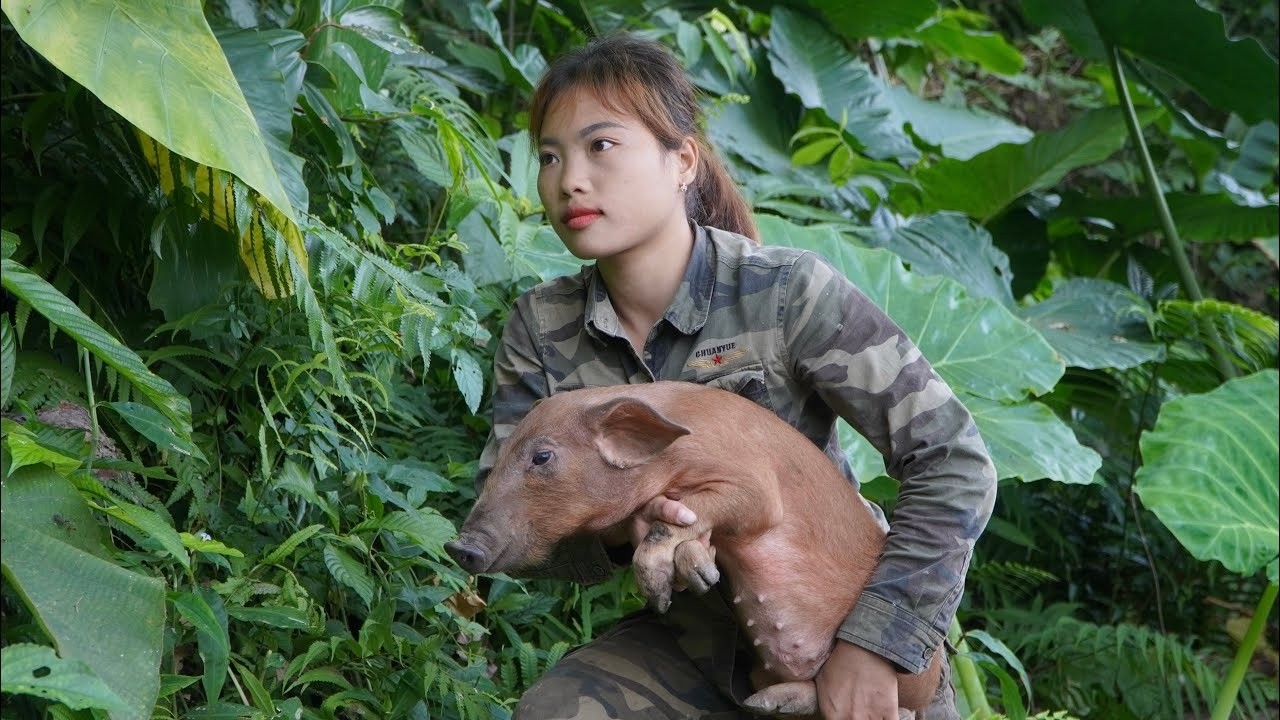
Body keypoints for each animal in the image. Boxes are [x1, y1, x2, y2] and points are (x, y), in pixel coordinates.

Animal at [445, 381, 943, 714]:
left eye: (542, 456)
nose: (458, 546)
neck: (668, 458)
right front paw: (700, 578)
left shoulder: (755, 486)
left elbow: (687, 518)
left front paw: (662, 592)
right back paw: (764, 702)